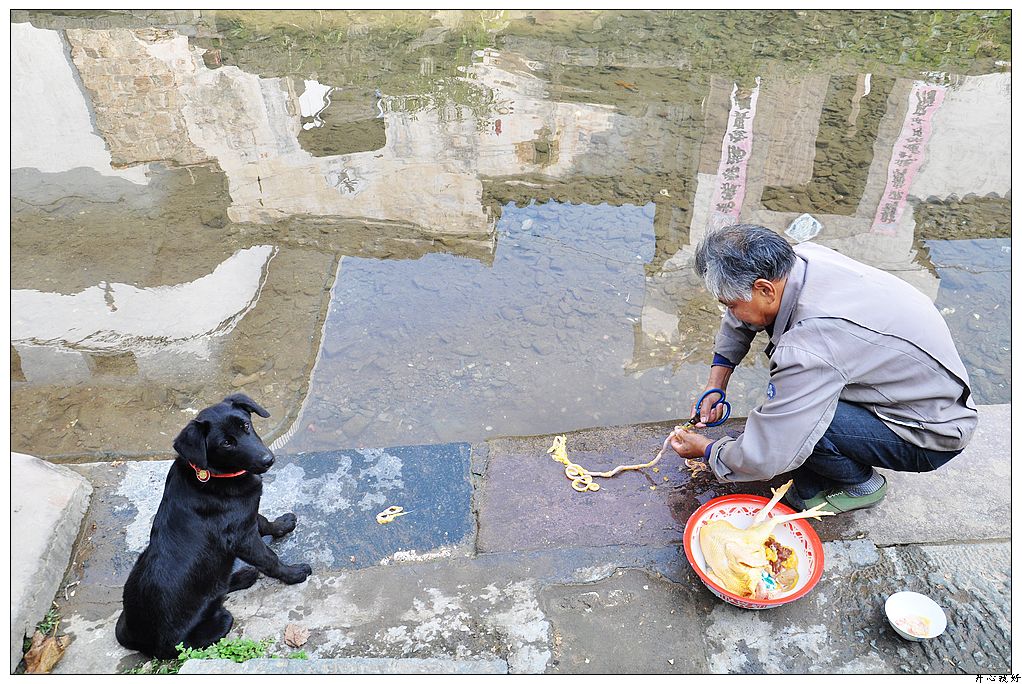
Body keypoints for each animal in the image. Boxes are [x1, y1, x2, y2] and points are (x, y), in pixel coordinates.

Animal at [115, 393, 312, 658]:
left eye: (246, 426)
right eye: (227, 443)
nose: (268, 460)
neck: (213, 474)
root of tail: (137, 637)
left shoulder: (246, 518)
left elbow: (263, 521)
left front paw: (282, 524)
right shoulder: (242, 537)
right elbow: (269, 558)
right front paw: (293, 573)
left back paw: (242, 576)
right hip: (217, 622)